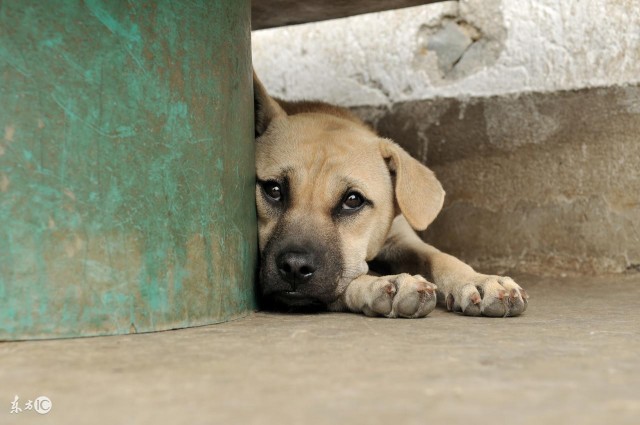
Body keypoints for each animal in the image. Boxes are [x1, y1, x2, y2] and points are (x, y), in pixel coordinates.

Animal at [252, 73, 528, 316]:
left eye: (353, 200)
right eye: (273, 189)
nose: (294, 267)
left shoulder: (401, 237)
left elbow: (440, 257)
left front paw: (479, 279)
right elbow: (349, 281)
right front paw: (382, 286)